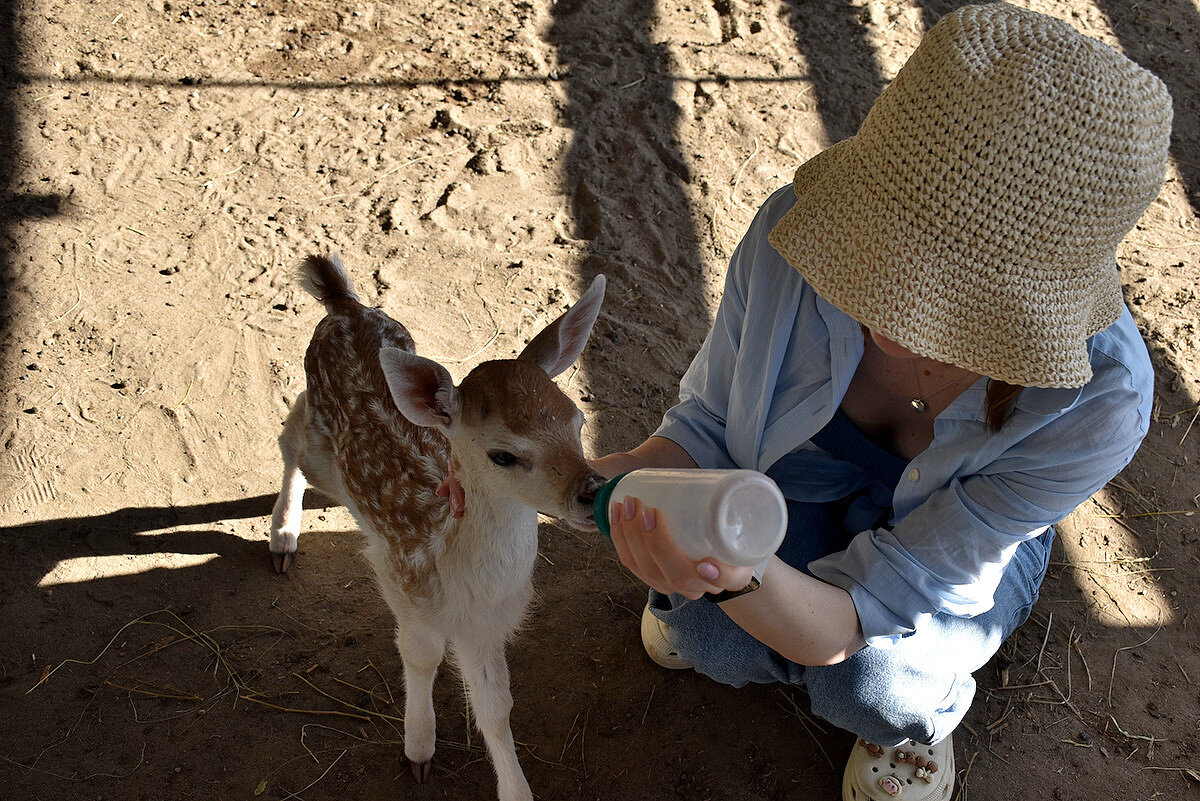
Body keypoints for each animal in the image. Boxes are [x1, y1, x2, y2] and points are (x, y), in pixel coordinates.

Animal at [267, 255, 604, 801]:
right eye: (502, 454)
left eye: (577, 421)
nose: (591, 491)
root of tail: (343, 306)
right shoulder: (402, 579)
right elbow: (420, 655)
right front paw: (418, 749)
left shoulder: (485, 625)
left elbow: (496, 708)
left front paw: (515, 788)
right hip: (320, 442)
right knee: (291, 433)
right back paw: (282, 537)